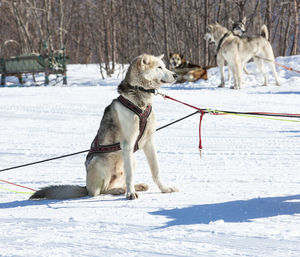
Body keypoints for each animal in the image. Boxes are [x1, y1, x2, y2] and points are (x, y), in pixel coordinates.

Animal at [29, 53, 178, 199]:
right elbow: (130, 176)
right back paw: (119, 191)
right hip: (99, 162)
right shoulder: (128, 144)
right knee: (100, 191)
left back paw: (135, 187)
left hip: (132, 160)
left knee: (119, 183)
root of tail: (85, 188)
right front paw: (131, 194)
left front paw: (165, 189)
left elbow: (156, 171)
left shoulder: (149, 143)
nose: (176, 75)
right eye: (159, 67)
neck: (139, 100)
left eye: (164, 66)